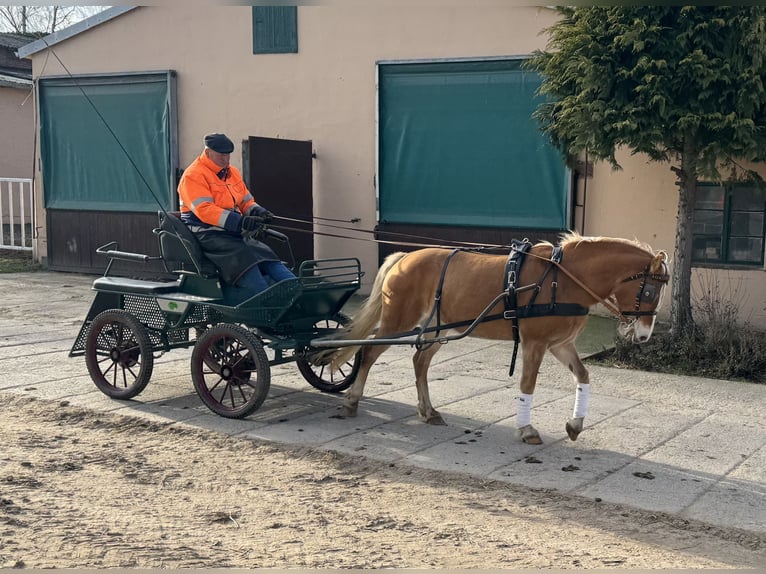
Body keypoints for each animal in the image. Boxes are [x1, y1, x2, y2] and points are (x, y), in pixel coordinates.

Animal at [320, 233, 668, 446]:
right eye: (650, 291)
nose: (644, 335)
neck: (564, 278)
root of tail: (405, 258)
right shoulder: (535, 343)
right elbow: (527, 384)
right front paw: (526, 428)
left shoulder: (559, 344)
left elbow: (583, 376)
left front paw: (575, 424)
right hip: (398, 322)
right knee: (369, 353)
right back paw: (352, 401)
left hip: (441, 328)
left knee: (420, 360)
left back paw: (428, 411)